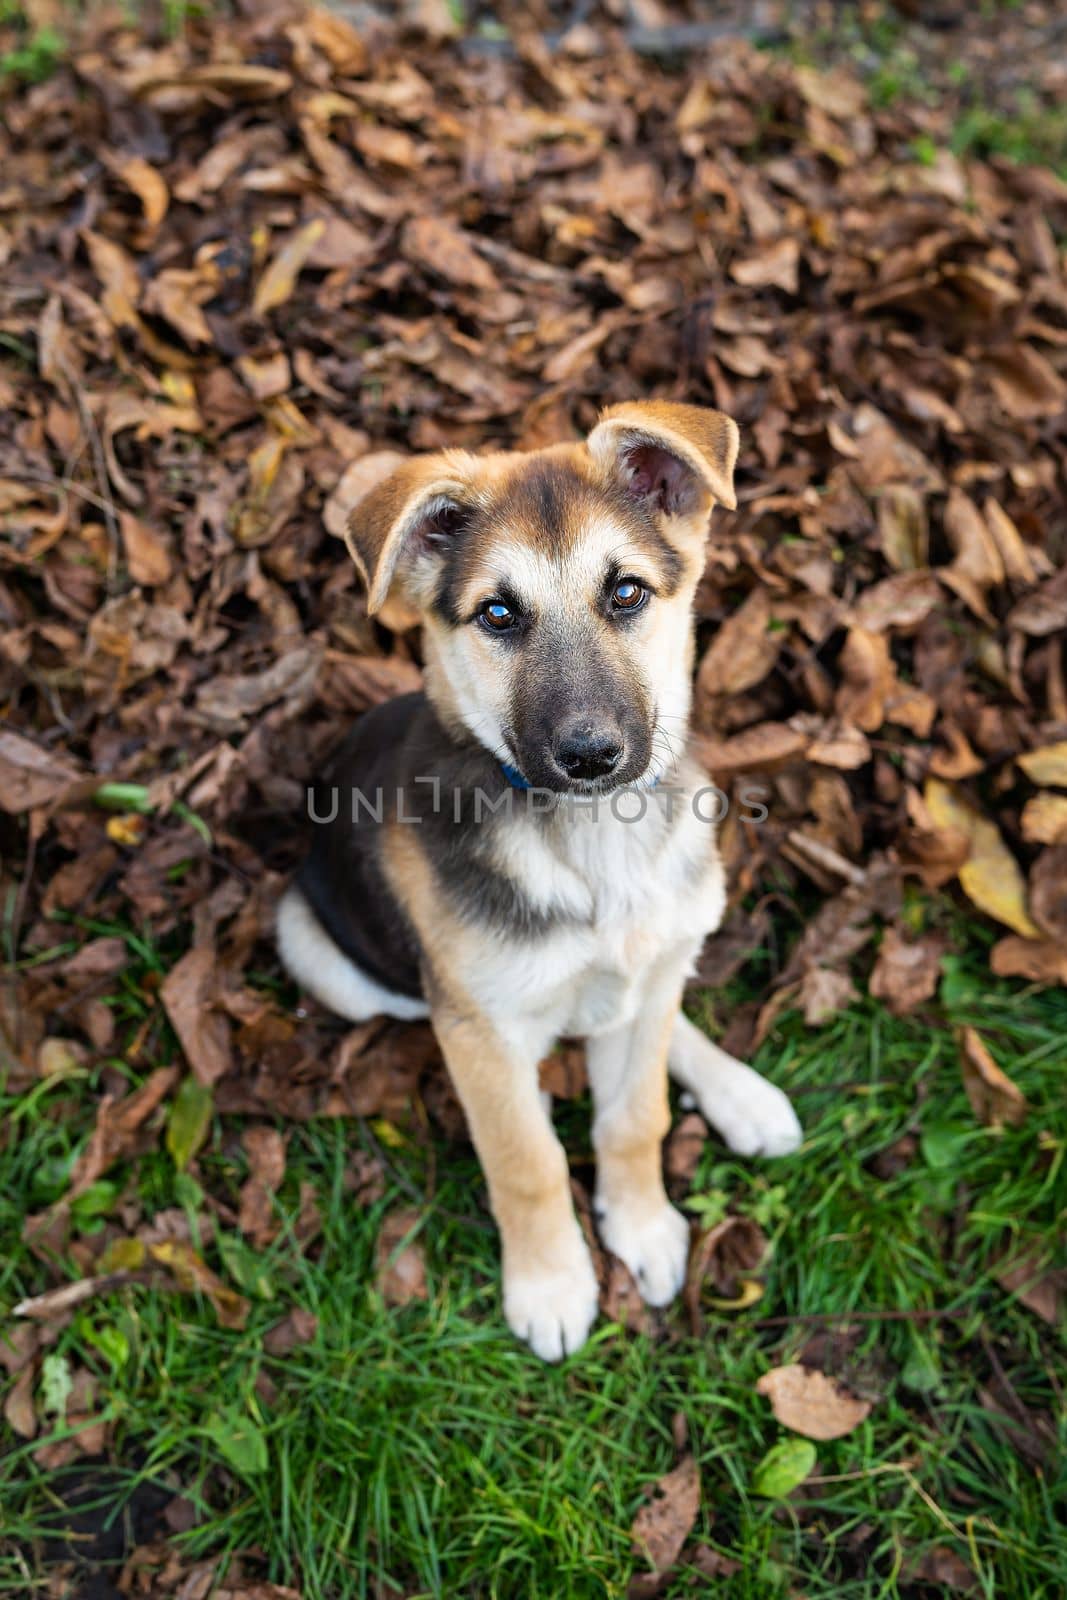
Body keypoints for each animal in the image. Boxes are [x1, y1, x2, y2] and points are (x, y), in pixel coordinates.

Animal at [275, 403, 799, 1363]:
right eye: (496, 613)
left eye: (625, 593)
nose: (590, 755)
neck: (593, 841)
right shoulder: (479, 1030)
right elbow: (527, 1162)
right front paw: (552, 1282)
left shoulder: (643, 976)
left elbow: (636, 1117)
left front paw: (642, 1226)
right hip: (325, 957)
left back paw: (742, 1096)